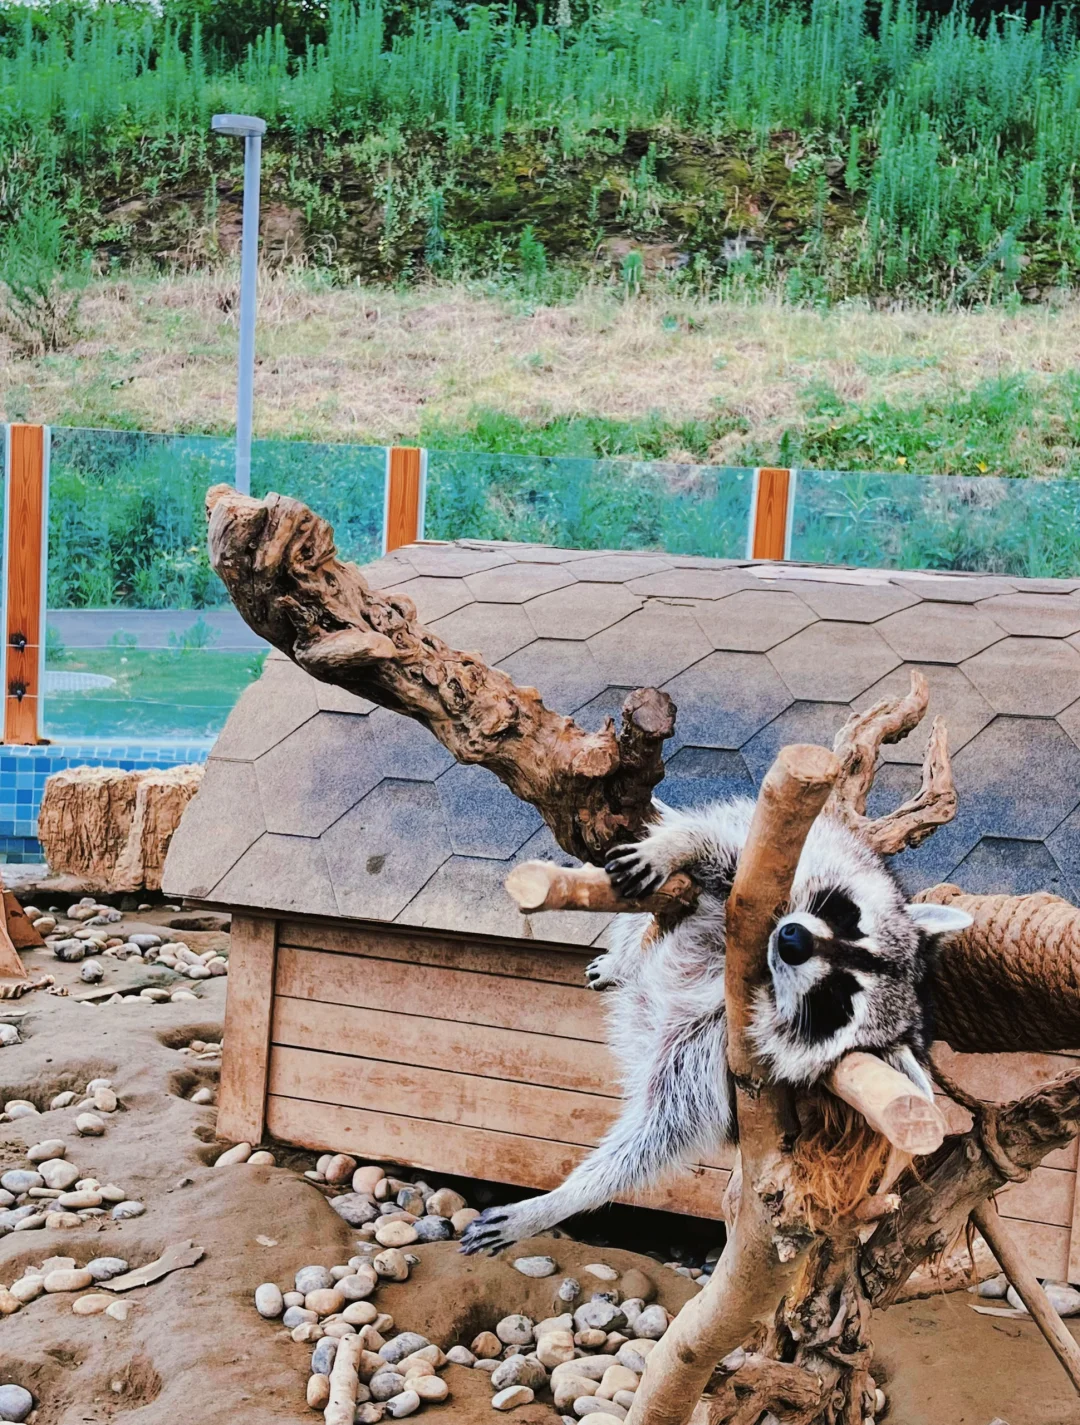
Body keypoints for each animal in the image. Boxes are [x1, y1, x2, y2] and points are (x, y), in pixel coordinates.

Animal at [458, 798, 974, 1254]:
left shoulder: (717, 1048)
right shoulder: (784, 871)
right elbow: (724, 851)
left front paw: (564, 1199)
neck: (763, 977)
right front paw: (673, 848)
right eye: (851, 919)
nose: (793, 938)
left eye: (835, 999)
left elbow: (667, 1129)